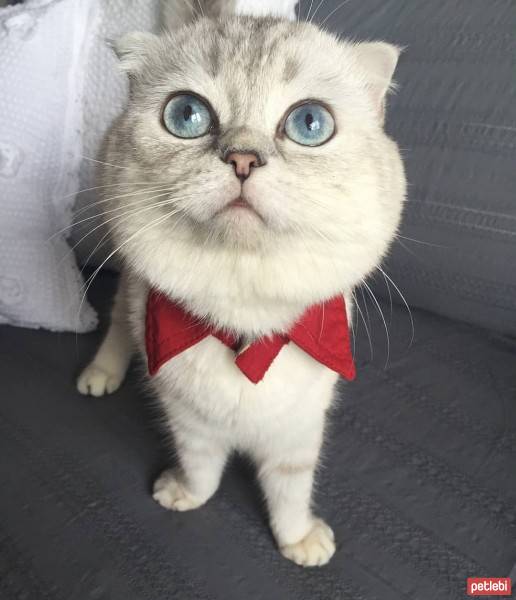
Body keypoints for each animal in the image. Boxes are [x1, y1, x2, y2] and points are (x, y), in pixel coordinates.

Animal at [77, 0, 408, 568]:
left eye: (310, 122)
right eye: (186, 115)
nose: (243, 158)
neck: (244, 320)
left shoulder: (299, 426)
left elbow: (290, 488)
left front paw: (299, 541)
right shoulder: (187, 418)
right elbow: (202, 469)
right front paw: (183, 494)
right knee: (119, 319)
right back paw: (102, 373)